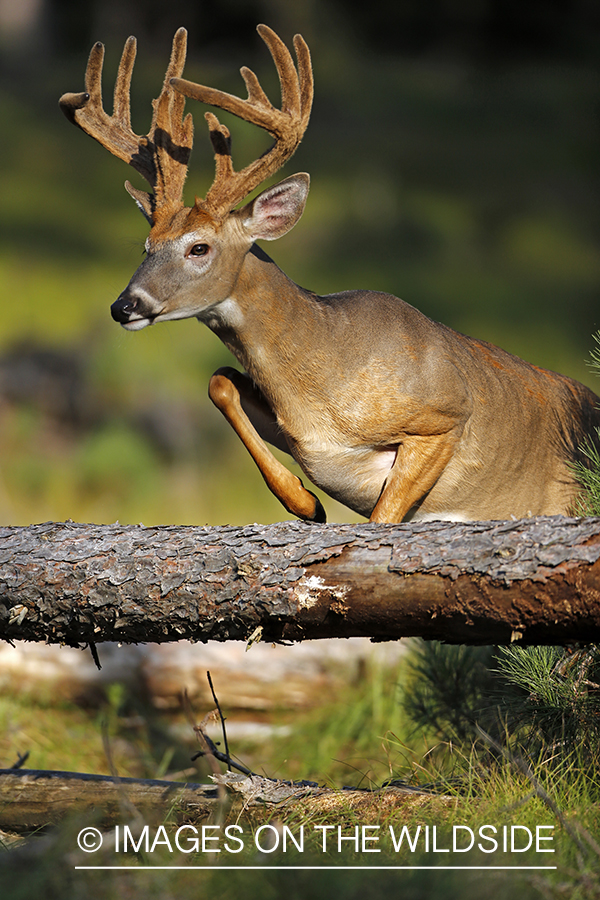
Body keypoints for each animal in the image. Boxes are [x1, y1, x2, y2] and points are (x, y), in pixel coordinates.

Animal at [59, 24, 600, 524]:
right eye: (146, 246)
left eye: (199, 247)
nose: (125, 305)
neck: (324, 385)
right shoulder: (300, 435)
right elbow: (219, 381)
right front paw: (306, 502)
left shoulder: (445, 416)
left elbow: (384, 518)